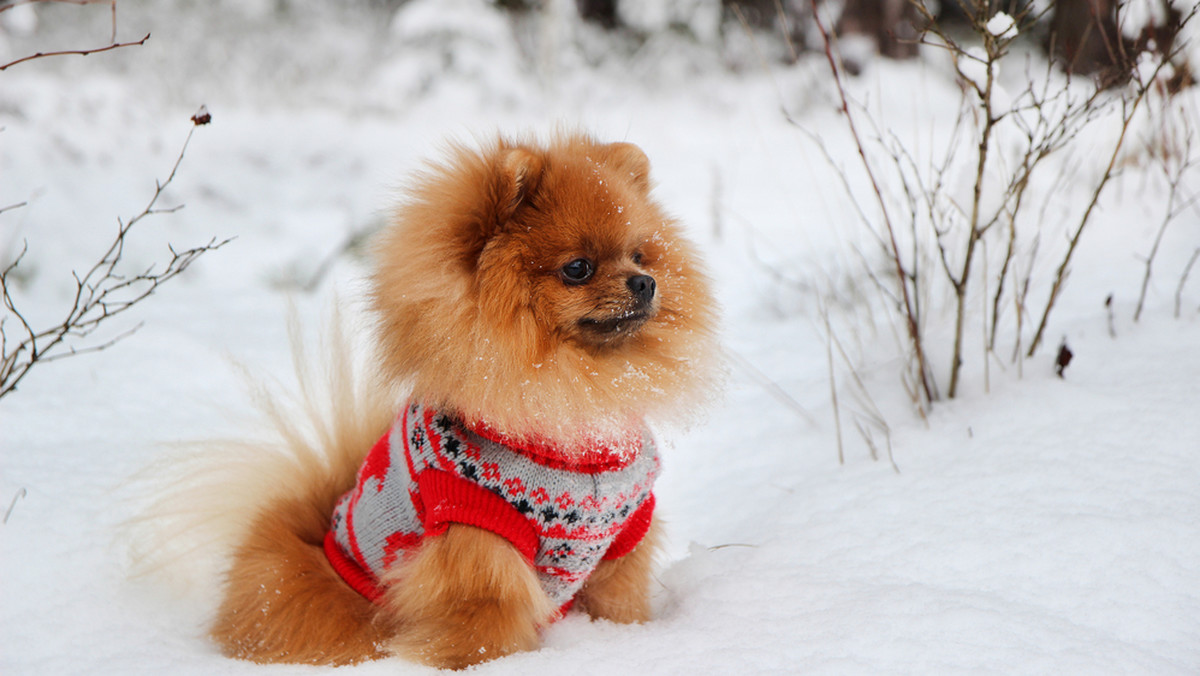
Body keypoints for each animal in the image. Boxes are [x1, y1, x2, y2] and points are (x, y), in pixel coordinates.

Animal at [175, 133, 715, 672]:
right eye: (577, 269)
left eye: (639, 257)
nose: (644, 283)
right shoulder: (478, 542)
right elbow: (485, 628)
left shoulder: (624, 536)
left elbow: (620, 605)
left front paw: (626, 642)